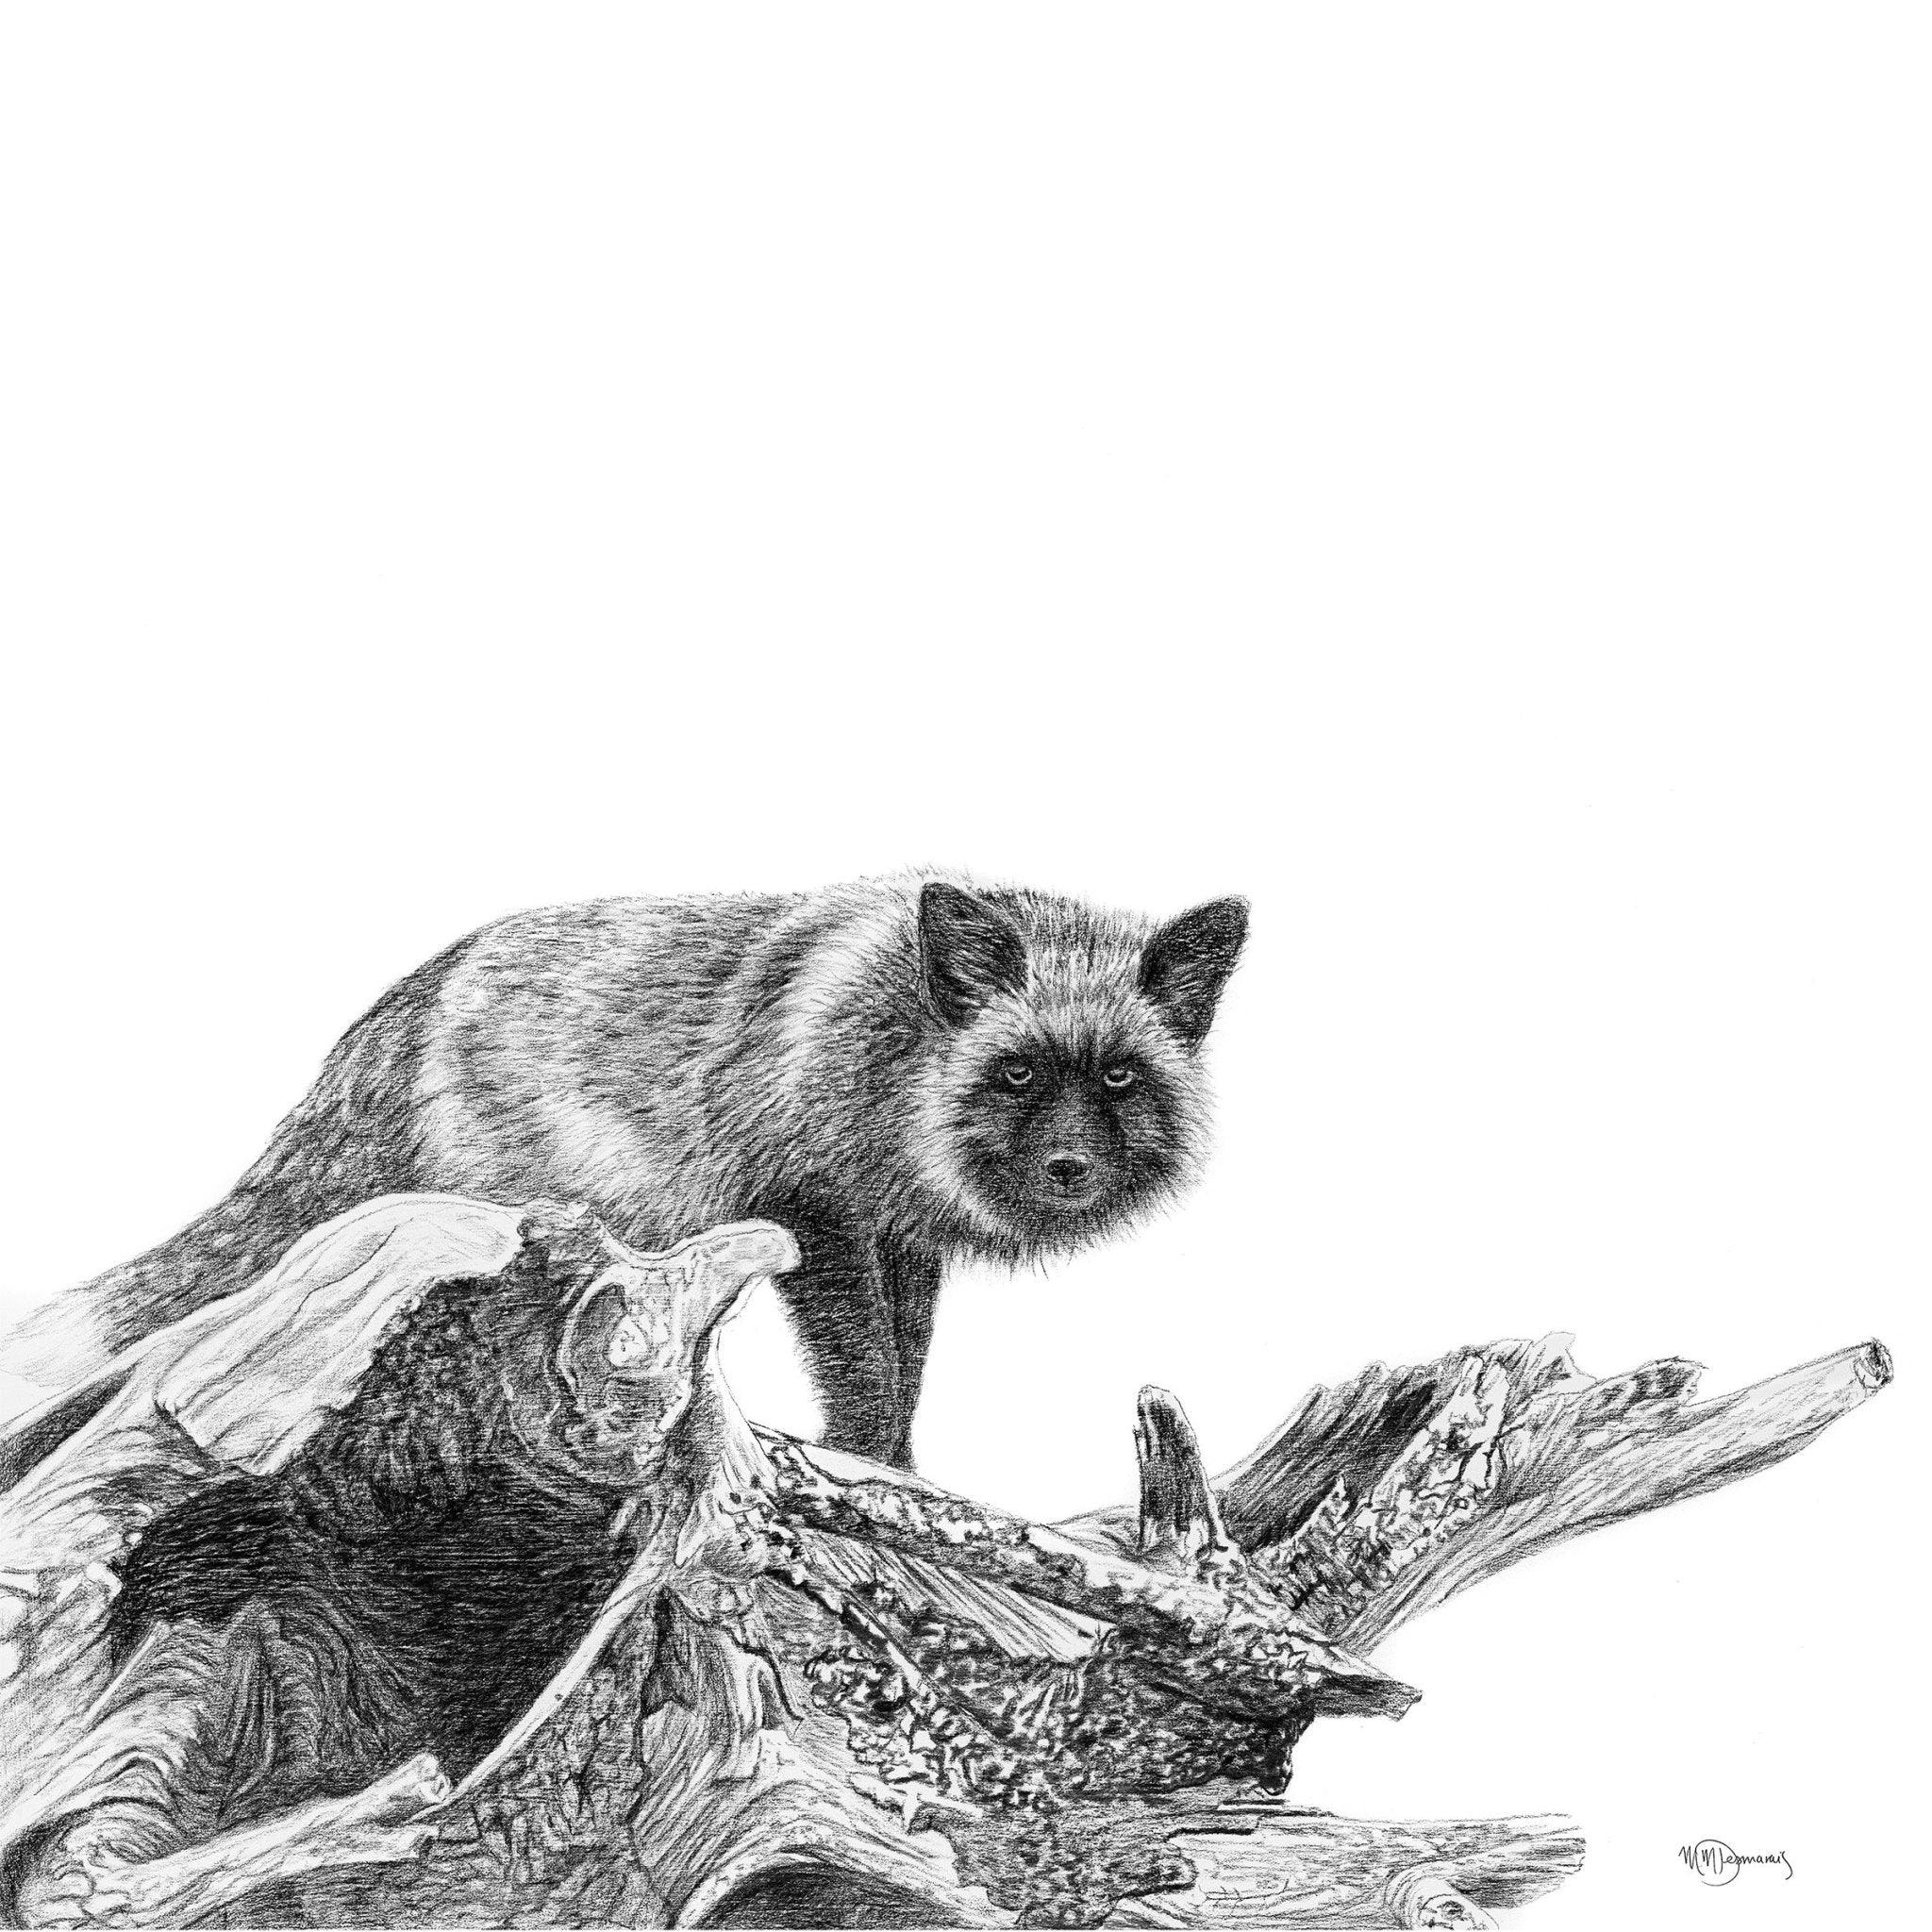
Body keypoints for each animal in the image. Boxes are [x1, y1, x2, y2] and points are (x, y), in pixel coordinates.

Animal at [6, 874, 1248, 1467]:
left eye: (1120, 1077)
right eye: (1017, 1072)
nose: (1070, 1168)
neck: (892, 1044)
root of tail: (397, 1007)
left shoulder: (896, 1237)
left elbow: (907, 1361)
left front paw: (902, 1464)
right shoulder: (809, 1212)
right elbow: (866, 1370)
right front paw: (876, 1464)